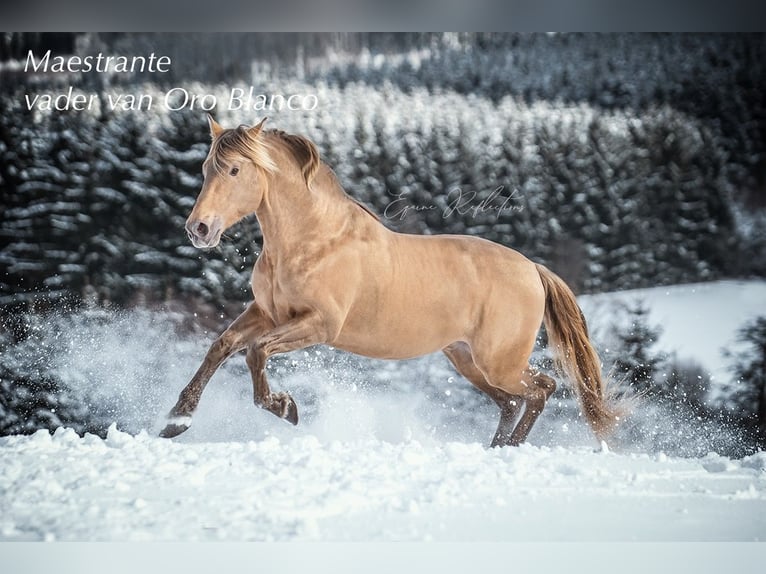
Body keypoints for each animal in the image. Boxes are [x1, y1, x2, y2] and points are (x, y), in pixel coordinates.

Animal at [159, 116, 620, 450]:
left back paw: (510, 448)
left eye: (235, 169)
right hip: (467, 359)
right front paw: (176, 421)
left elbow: (256, 352)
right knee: (512, 401)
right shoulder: (267, 313)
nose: (198, 229)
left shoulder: (319, 325)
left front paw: (285, 408)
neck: (315, 239)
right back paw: (495, 447)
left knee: (542, 389)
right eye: (205, 169)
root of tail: (532, 269)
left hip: (499, 362)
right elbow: (222, 346)